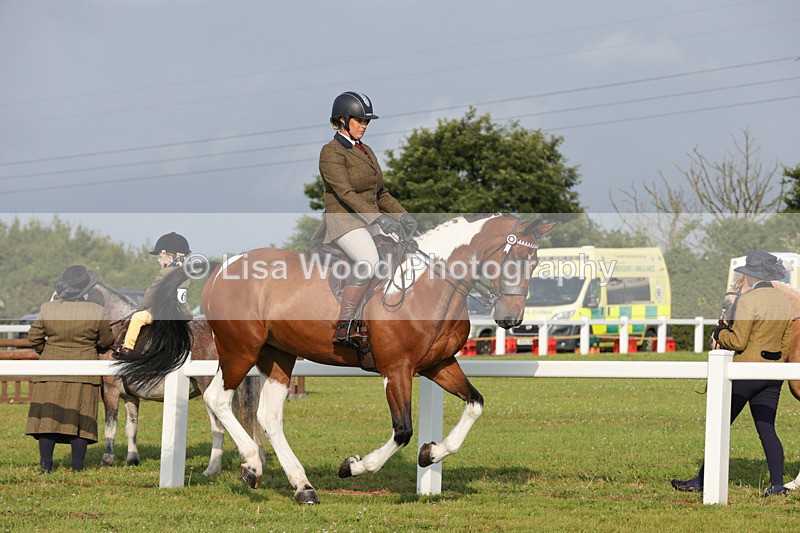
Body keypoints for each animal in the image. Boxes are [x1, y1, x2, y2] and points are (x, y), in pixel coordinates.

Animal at [92, 282, 266, 475]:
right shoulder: (131, 396)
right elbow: (132, 427)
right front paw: (132, 459)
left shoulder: (110, 391)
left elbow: (110, 427)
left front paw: (106, 461)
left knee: (218, 428)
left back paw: (212, 468)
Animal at [114, 214, 554, 504]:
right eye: (514, 259)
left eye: (535, 262)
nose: (510, 319)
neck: (431, 287)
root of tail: (224, 266)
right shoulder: (396, 369)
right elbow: (402, 431)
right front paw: (353, 466)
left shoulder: (437, 365)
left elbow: (475, 404)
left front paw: (432, 453)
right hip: (241, 349)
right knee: (218, 399)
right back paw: (253, 466)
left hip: (278, 355)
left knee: (268, 415)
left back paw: (303, 487)